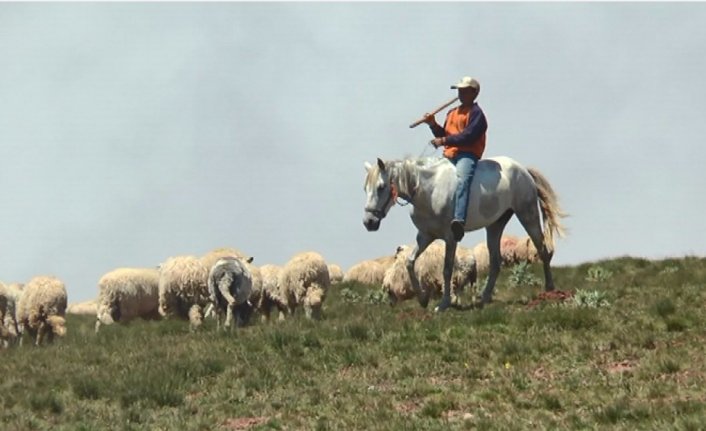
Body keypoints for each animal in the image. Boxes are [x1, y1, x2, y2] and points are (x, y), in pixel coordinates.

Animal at [364, 157, 568, 312]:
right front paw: (422, 299)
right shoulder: (425, 236)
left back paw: (549, 290)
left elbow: (447, 270)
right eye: (365, 188)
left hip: (528, 214)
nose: (369, 222)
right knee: (496, 262)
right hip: (494, 226)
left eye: (381, 187)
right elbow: (409, 262)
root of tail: (523, 170)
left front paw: (444, 304)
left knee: (543, 250)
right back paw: (483, 299)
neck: (428, 191)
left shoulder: (450, 237)